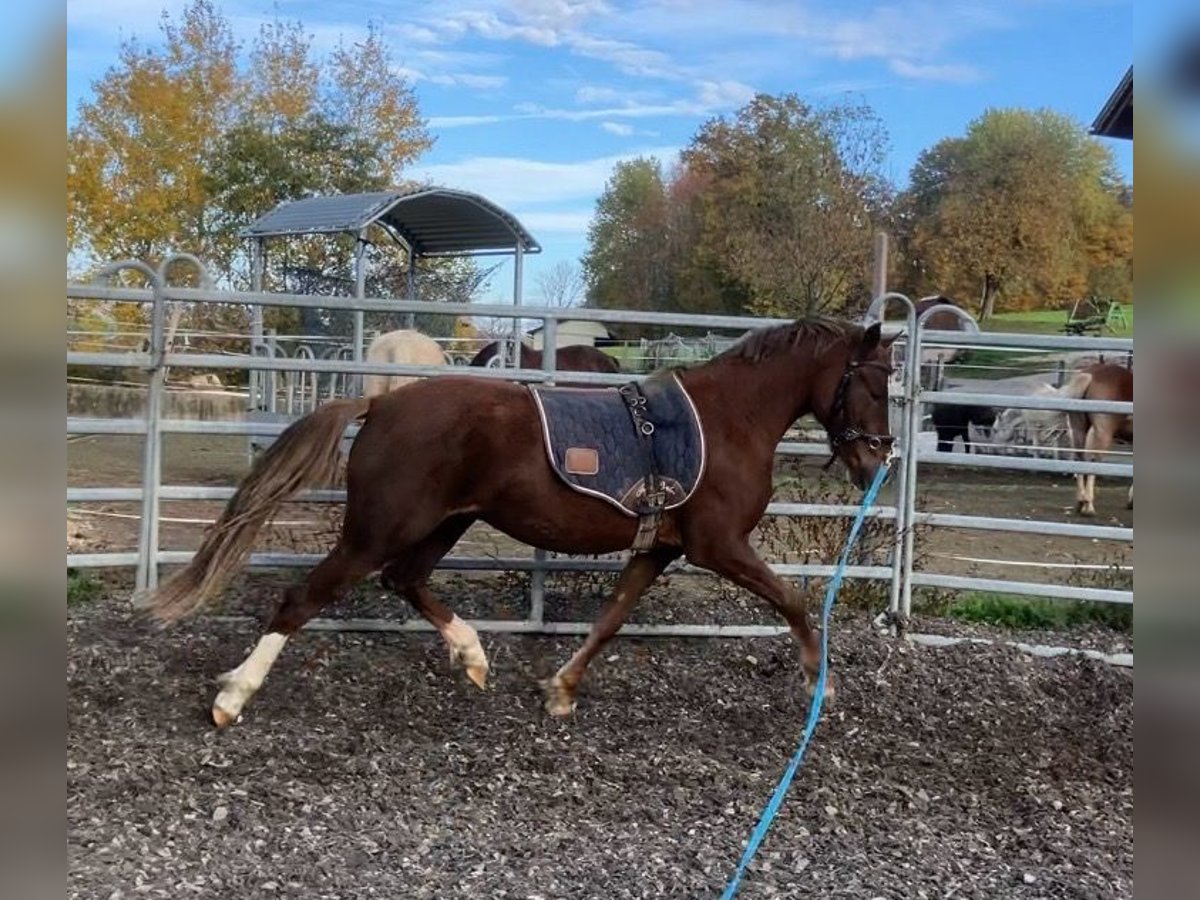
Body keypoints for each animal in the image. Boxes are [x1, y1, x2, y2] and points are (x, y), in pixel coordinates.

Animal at [145, 321, 897, 729]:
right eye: (875, 382)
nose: (877, 459)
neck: (727, 422)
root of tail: (381, 405)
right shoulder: (719, 546)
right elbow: (793, 600)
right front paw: (819, 683)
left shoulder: (658, 550)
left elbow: (611, 619)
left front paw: (560, 690)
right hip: (377, 531)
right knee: (303, 598)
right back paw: (232, 697)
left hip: (442, 525)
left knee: (405, 580)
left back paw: (474, 657)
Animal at [1065, 360, 1128, 513]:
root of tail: (1090, 376)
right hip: (1102, 434)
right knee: (1094, 461)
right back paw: (1088, 506)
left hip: (1079, 430)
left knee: (1080, 459)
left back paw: (1080, 502)